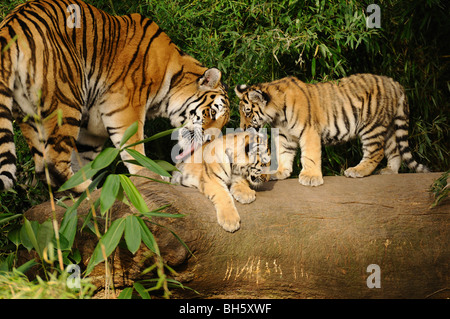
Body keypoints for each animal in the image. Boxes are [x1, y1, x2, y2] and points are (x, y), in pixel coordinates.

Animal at [0, 0, 230, 195]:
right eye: (212, 113)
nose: (210, 141)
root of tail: (12, 22)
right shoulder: (124, 106)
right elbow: (134, 148)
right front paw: (152, 177)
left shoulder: (92, 130)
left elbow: (84, 158)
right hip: (66, 100)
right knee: (52, 161)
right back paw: (87, 190)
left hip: (27, 112)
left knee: (42, 165)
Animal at [236, 73, 428, 186]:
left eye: (247, 112)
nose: (242, 128)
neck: (277, 115)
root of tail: (394, 83)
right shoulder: (285, 136)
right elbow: (283, 154)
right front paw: (280, 172)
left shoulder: (309, 131)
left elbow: (309, 155)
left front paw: (310, 177)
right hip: (387, 126)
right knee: (394, 149)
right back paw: (390, 171)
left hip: (372, 125)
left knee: (376, 152)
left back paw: (357, 171)